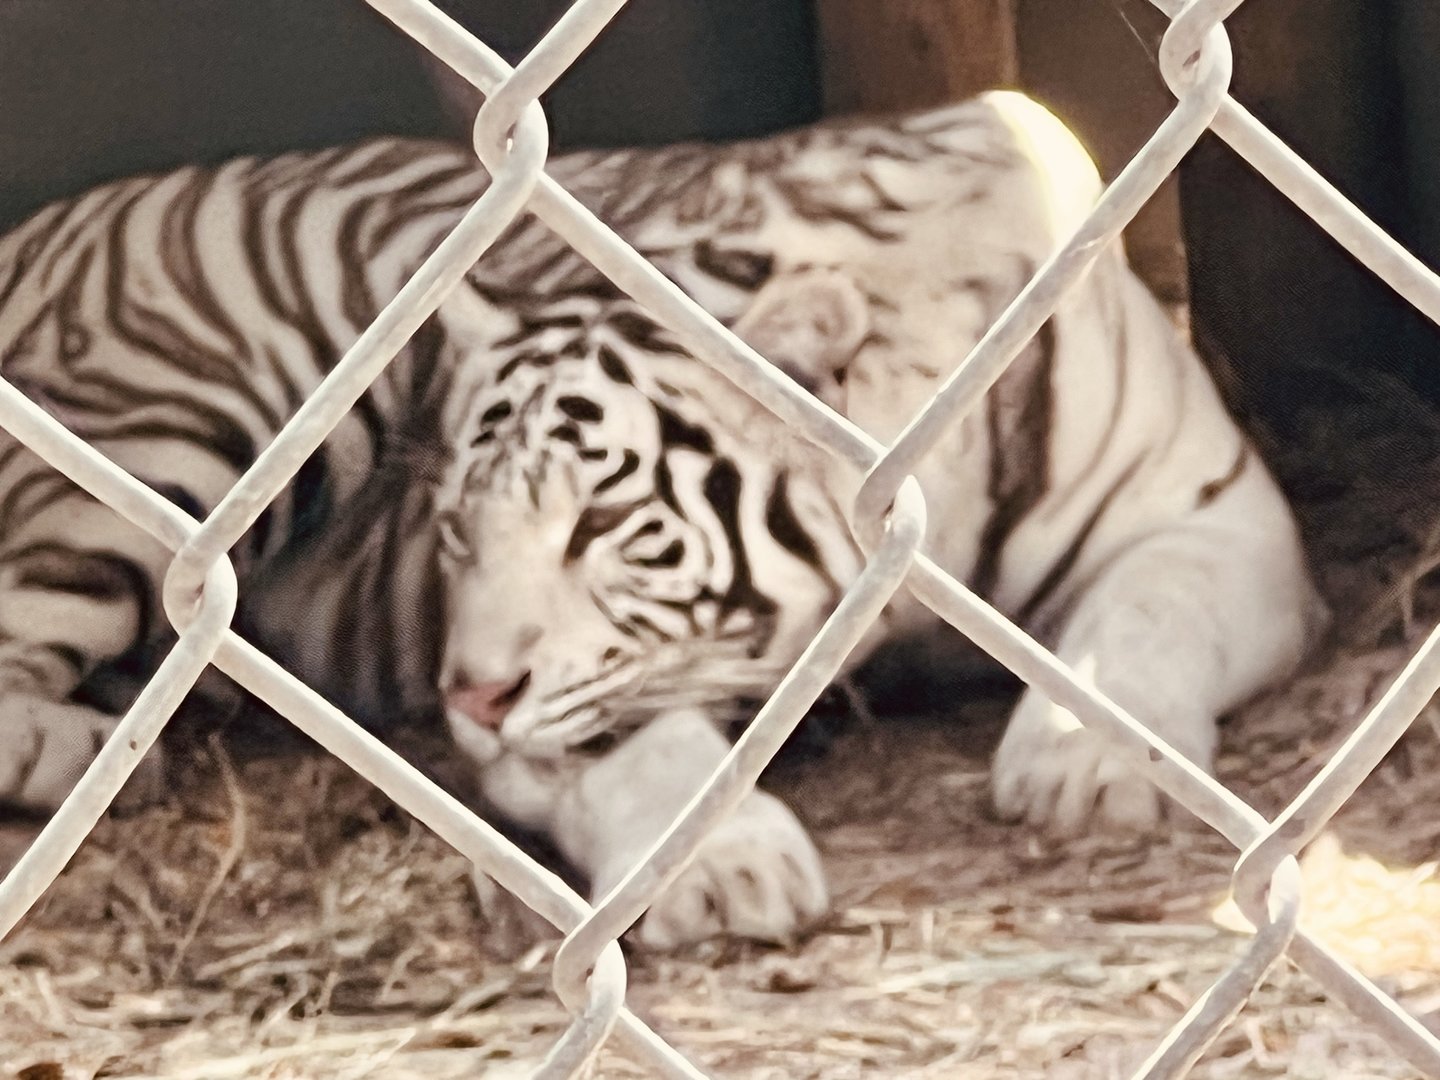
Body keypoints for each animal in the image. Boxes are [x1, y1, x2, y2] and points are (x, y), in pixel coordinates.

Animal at [0, 90, 1325, 949]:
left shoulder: (1216, 517)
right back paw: (89, 750)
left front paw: (1090, 765)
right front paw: (725, 867)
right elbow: (638, 749)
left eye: (600, 526)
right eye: (458, 534)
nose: (465, 694)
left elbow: (1145, 617)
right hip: (184, 424)